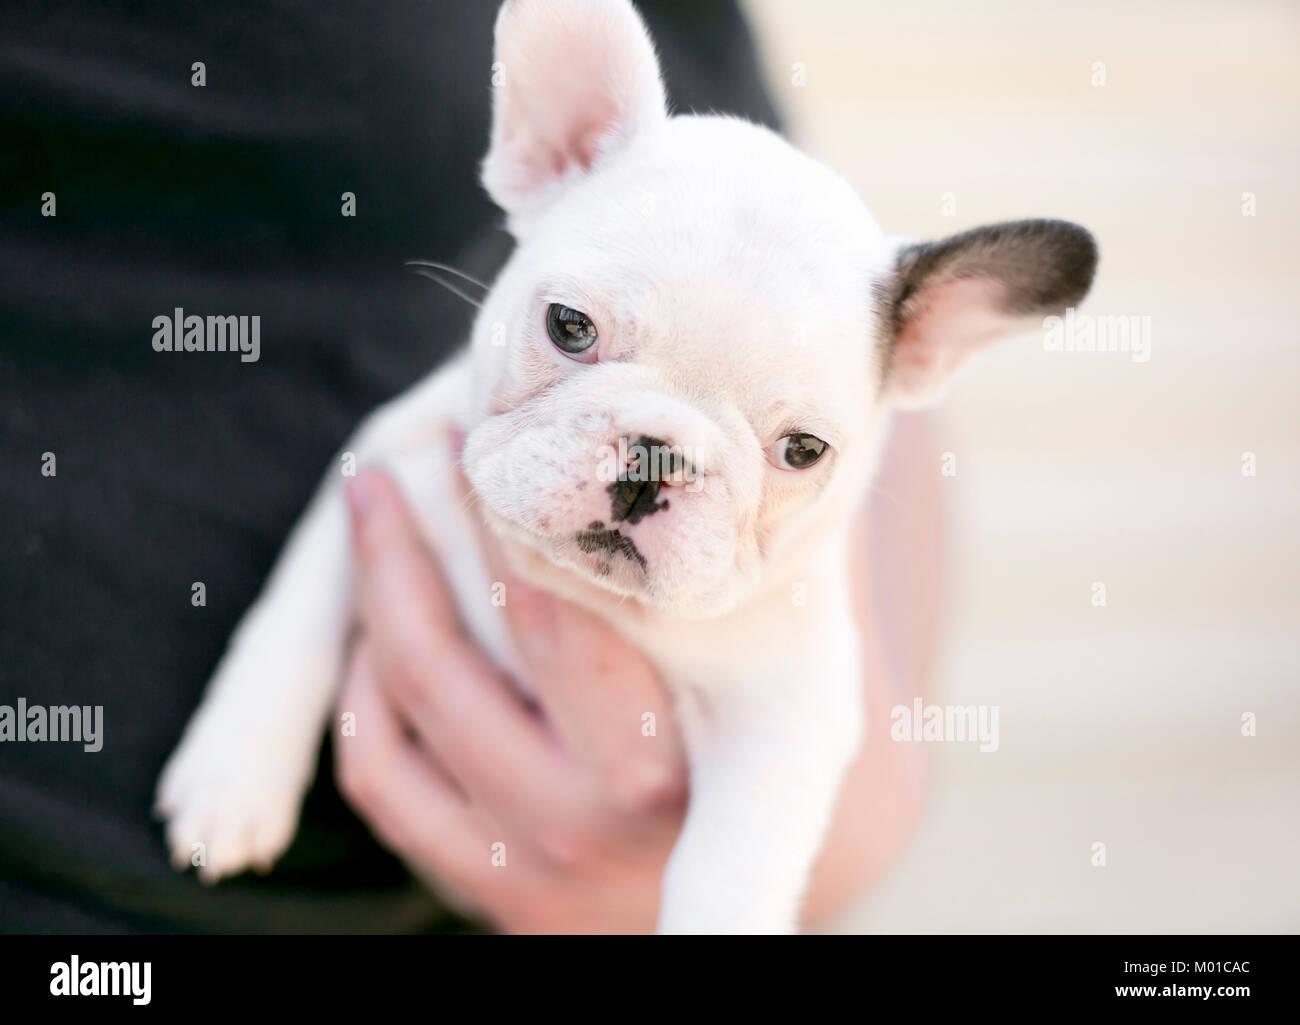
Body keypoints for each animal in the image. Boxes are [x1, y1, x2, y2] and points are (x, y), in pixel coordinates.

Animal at [159, 0, 1097, 931]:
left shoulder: (784, 721)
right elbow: (296, 612)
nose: (657, 455)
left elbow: (731, 864)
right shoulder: (387, 458)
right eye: (569, 326)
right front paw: (233, 776)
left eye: (803, 450)